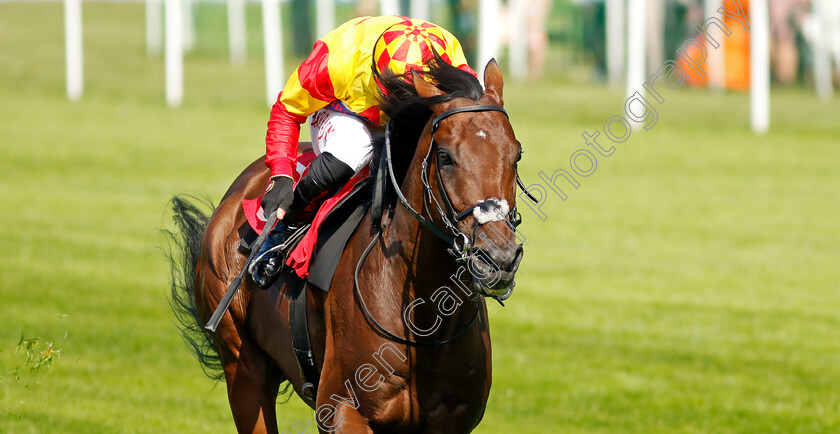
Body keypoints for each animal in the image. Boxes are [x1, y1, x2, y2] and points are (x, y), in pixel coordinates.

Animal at [167, 58, 524, 434]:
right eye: (445, 156)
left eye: (516, 154)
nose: (499, 257)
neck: (422, 319)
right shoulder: (342, 409)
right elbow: (289, 106)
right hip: (244, 368)